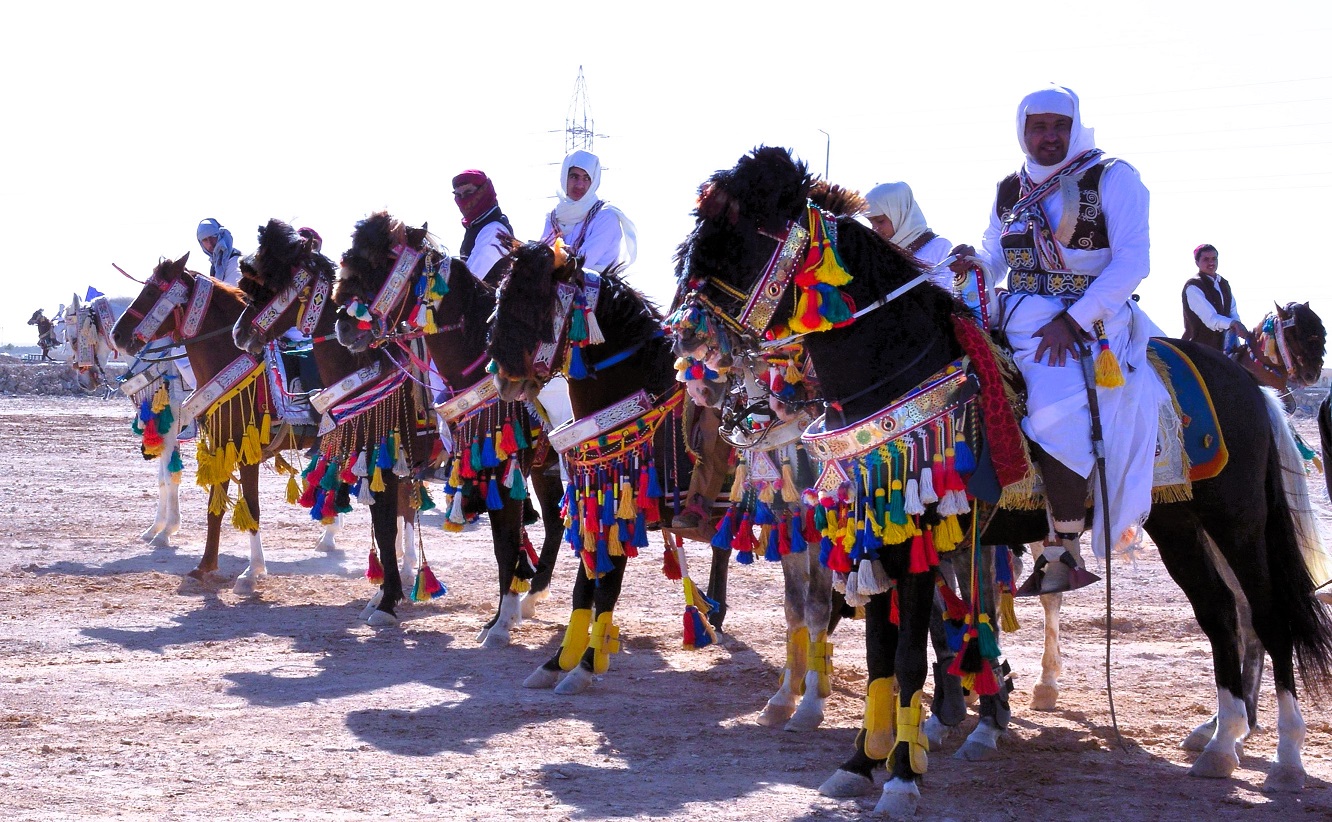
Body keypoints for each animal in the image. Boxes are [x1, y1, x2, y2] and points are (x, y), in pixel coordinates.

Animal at [111, 253, 340, 594]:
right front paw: (204, 566)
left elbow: (251, 506)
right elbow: (212, 508)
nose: (117, 335)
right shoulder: (219, 446)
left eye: (151, 292)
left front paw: (252, 572)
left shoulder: (247, 452)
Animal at [326, 214, 567, 650]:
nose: (344, 324)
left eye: (382, 262)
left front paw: (499, 623)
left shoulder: (500, 468)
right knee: (557, 522)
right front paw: (384, 601)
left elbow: (505, 542)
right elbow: (386, 527)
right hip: (545, 464)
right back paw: (532, 598)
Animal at [492, 237, 729, 692]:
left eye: (533, 303)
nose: (502, 374)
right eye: (502, 296)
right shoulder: (592, 501)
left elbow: (608, 584)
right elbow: (585, 584)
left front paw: (585, 665)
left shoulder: (622, 503)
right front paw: (557, 661)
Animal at [676, 145, 1332, 815]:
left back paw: (1284, 757)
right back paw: (1222, 745)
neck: (903, 368)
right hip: (1179, 524)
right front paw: (862, 762)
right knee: (1221, 612)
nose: (687, 336)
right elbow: (882, 649)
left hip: (1237, 522)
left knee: (1268, 615)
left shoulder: (923, 537)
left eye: (744, 232)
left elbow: (909, 655)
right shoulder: (879, 536)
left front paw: (903, 776)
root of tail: (1246, 385)